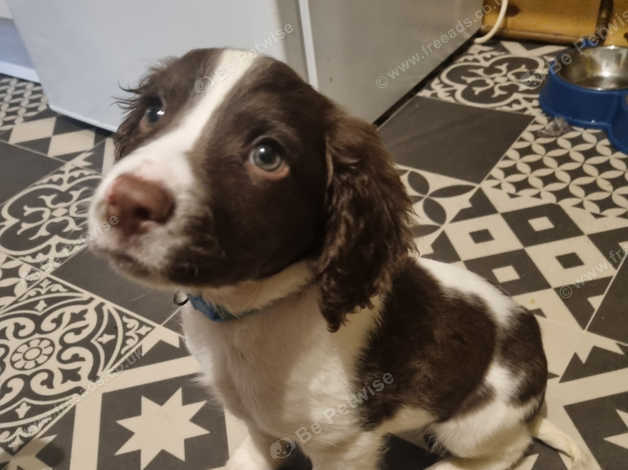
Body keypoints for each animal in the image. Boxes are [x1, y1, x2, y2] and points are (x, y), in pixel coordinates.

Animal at [87, 48, 588, 470]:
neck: (249, 316)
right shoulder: (255, 418)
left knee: (510, 451)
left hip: (476, 421)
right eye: (154, 111)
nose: (124, 203)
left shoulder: (344, 444)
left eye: (267, 155)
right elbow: (258, 448)